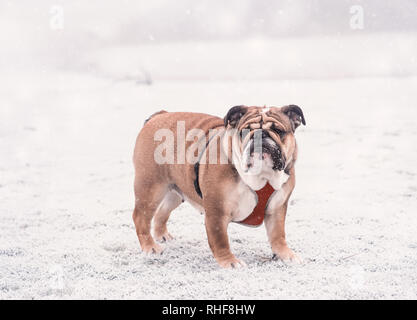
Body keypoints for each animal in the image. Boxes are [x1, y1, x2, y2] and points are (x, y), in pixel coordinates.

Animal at [133, 105, 306, 268]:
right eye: (245, 131)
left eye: (278, 130)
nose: (261, 135)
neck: (262, 174)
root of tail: (159, 115)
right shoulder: (217, 211)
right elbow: (220, 239)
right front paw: (229, 261)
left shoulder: (277, 208)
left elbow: (278, 234)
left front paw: (285, 255)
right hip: (151, 189)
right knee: (140, 217)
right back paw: (150, 247)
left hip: (175, 192)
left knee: (162, 211)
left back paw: (162, 235)